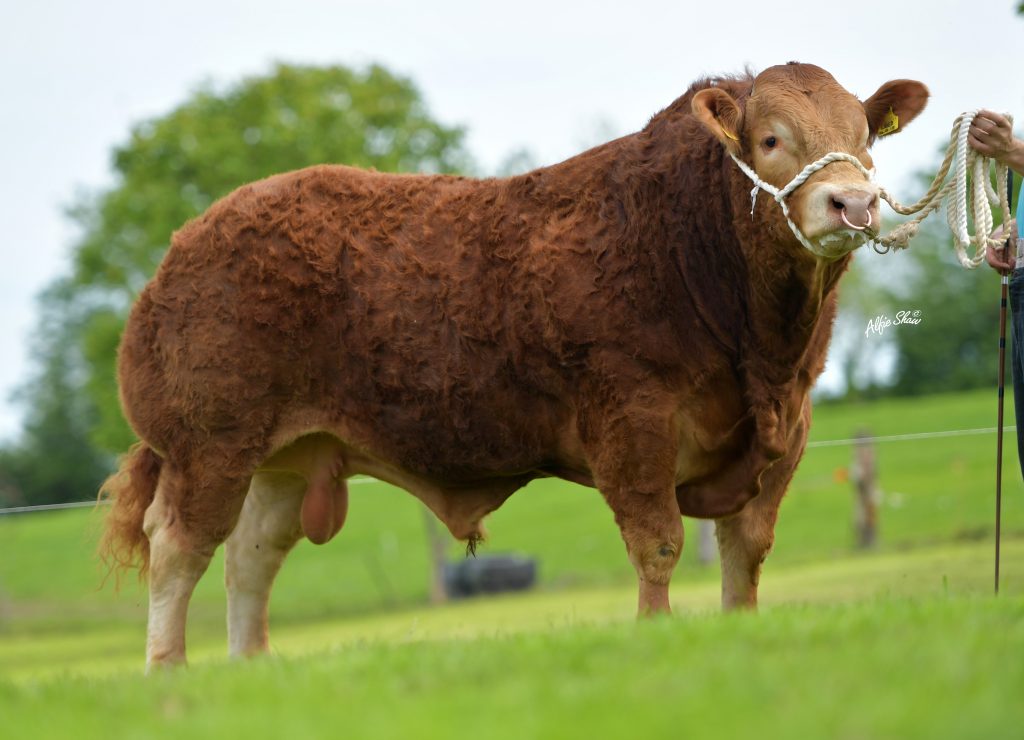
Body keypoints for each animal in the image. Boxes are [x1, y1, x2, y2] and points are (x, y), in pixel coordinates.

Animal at [101, 60, 929, 667]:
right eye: (770, 140)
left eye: (866, 135)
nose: (853, 203)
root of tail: (187, 242)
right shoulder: (633, 422)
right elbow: (658, 543)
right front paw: (656, 636)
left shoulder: (788, 431)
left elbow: (746, 551)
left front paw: (737, 631)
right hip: (209, 443)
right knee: (179, 548)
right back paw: (168, 672)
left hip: (283, 457)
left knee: (250, 555)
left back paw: (251, 668)